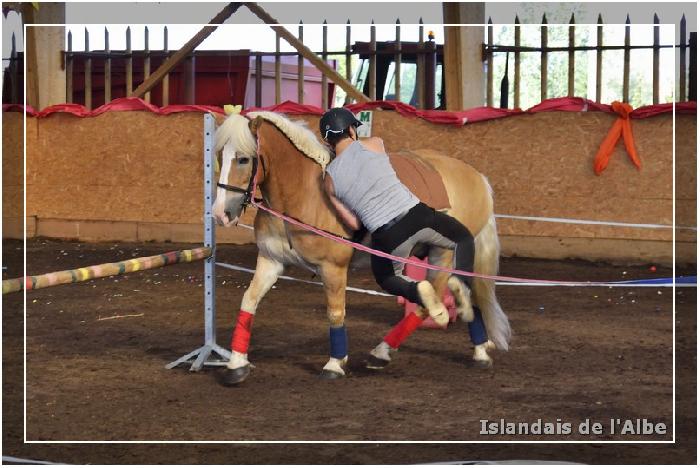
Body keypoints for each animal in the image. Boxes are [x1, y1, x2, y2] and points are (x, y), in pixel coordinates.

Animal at [211, 110, 512, 384]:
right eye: (219, 157)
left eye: (243, 159)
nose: (220, 214)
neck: (302, 195)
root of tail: (476, 176)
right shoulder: (270, 261)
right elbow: (249, 302)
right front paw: (236, 364)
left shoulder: (333, 269)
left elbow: (335, 313)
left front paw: (334, 364)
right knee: (456, 292)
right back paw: (477, 345)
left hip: (444, 254)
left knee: (431, 298)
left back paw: (385, 351)